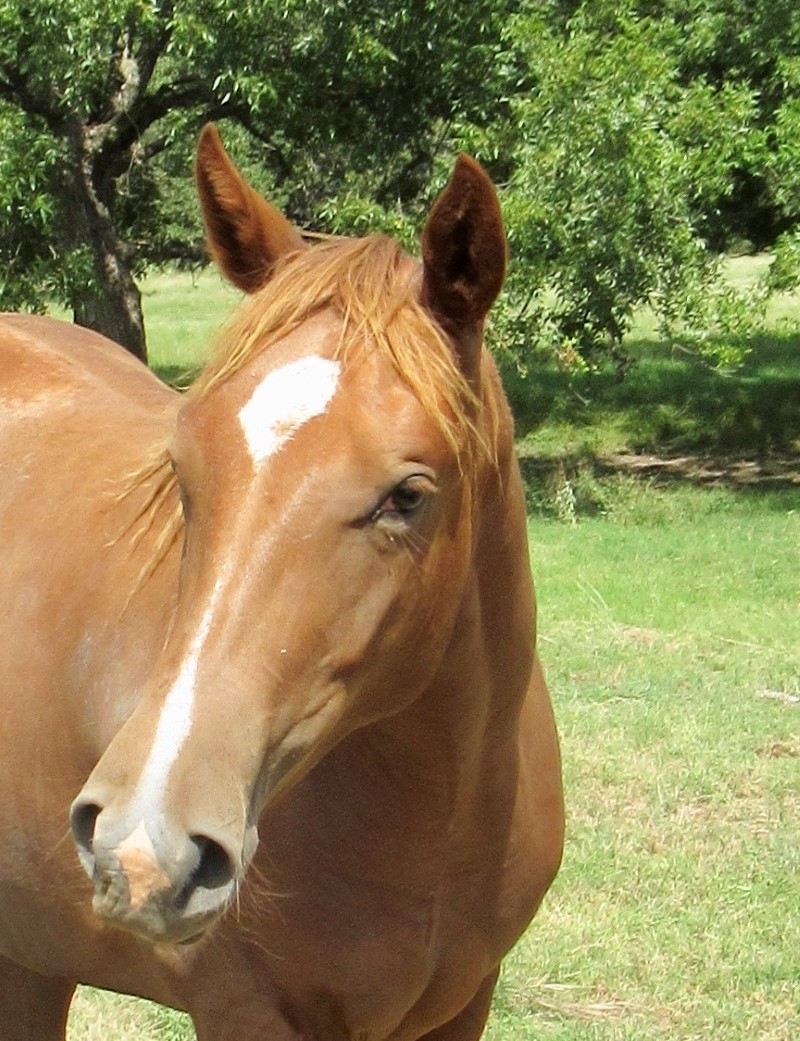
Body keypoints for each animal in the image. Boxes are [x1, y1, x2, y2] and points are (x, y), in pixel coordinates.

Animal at [0, 125, 562, 1036]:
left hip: (31, 955)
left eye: (408, 495)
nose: (143, 844)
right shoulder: (246, 1009)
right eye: (183, 469)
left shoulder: (467, 1002)